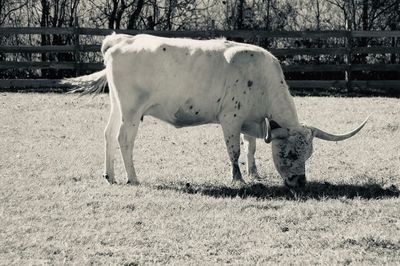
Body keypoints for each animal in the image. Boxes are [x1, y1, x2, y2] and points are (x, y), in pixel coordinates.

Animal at [63, 33, 368, 189]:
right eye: (289, 153)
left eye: (309, 154)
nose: (301, 183)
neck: (261, 79)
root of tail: (119, 40)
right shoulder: (230, 119)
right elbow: (234, 151)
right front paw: (238, 178)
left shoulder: (251, 122)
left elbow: (251, 147)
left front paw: (254, 172)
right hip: (132, 110)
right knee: (124, 139)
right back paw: (132, 177)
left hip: (117, 106)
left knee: (108, 134)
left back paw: (110, 175)